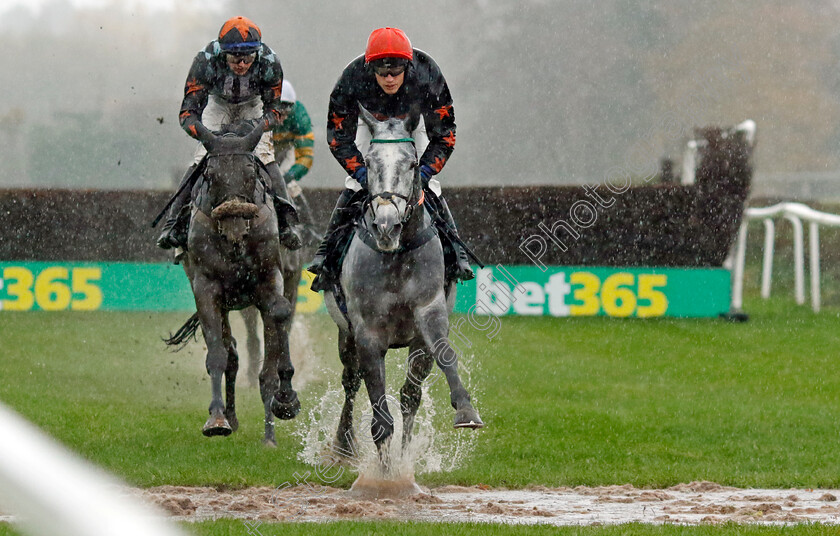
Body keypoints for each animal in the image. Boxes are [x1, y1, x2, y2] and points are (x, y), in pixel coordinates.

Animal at [166, 121, 300, 444]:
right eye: (211, 175)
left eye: (251, 174)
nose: (235, 226)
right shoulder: (206, 288)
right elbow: (218, 355)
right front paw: (216, 419)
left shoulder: (271, 278)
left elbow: (278, 324)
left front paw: (281, 410)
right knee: (231, 352)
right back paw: (231, 417)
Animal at [324, 105, 482, 460]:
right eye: (368, 162)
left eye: (411, 163)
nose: (387, 226)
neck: (396, 255)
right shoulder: (366, 331)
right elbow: (380, 418)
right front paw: (386, 470)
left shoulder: (429, 311)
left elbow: (443, 357)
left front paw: (466, 410)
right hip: (345, 334)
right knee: (351, 382)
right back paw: (343, 444)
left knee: (410, 393)